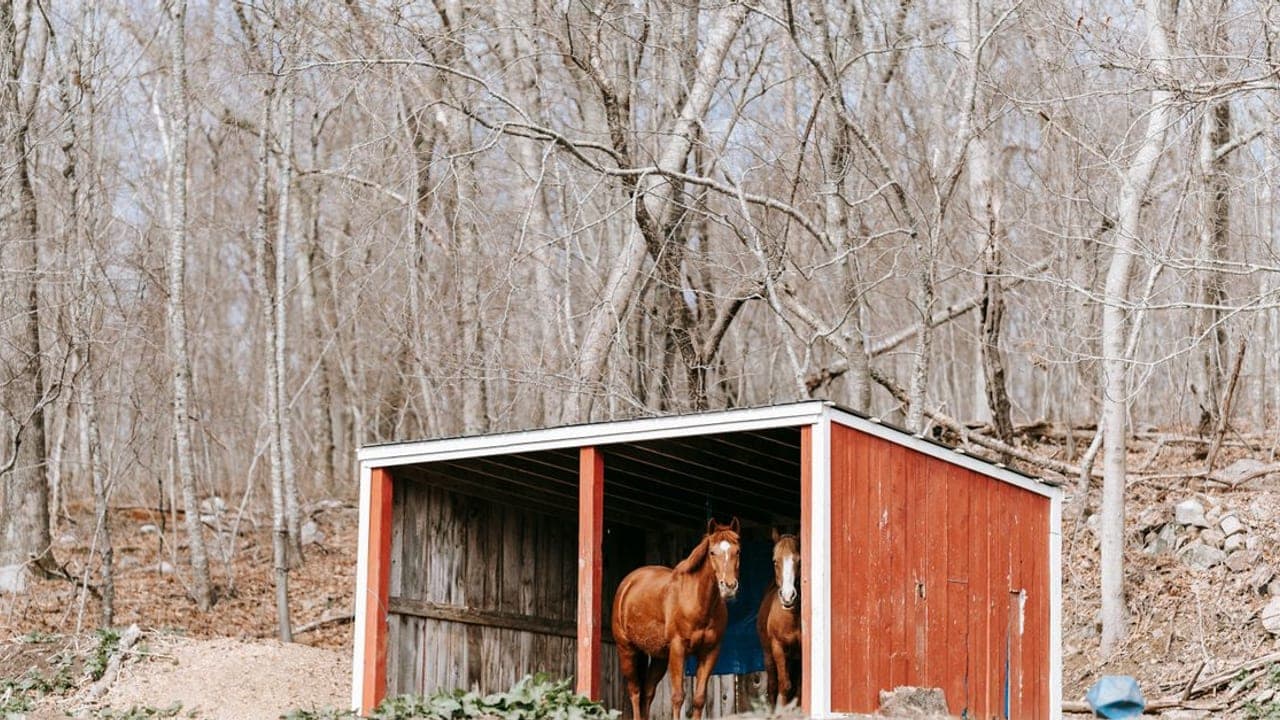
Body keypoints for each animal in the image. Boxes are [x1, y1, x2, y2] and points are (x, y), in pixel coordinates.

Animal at [611, 517, 742, 720]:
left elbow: (699, 698)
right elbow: (678, 696)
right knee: (635, 691)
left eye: (738, 551)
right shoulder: (678, 648)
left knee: (648, 691)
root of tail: (628, 582)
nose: (728, 587)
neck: (697, 601)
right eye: (712, 552)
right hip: (627, 649)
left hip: (659, 657)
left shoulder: (710, 652)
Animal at [756, 529, 801, 709]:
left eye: (798, 560)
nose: (788, 596)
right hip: (769, 655)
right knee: (773, 684)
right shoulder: (777, 647)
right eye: (775, 561)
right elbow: (784, 685)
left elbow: (798, 689)